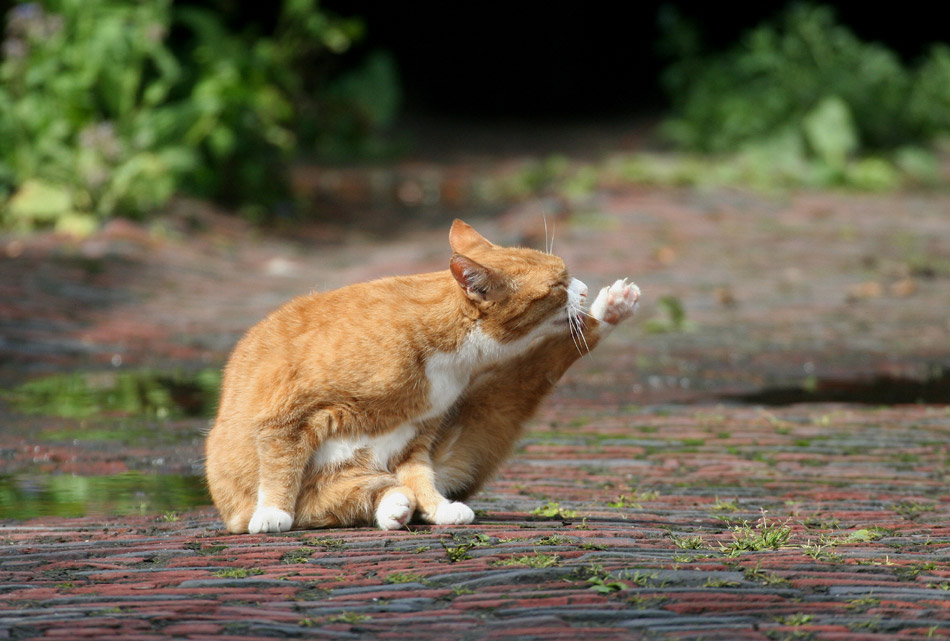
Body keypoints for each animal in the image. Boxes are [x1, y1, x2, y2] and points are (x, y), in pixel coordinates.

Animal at [206, 220, 640, 528]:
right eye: (558, 285)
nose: (583, 290)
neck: (450, 359)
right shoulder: (287, 408)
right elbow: (281, 463)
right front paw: (272, 513)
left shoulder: (416, 435)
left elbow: (420, 479)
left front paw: (440, 509)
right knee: (333, 501)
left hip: (498, 402)